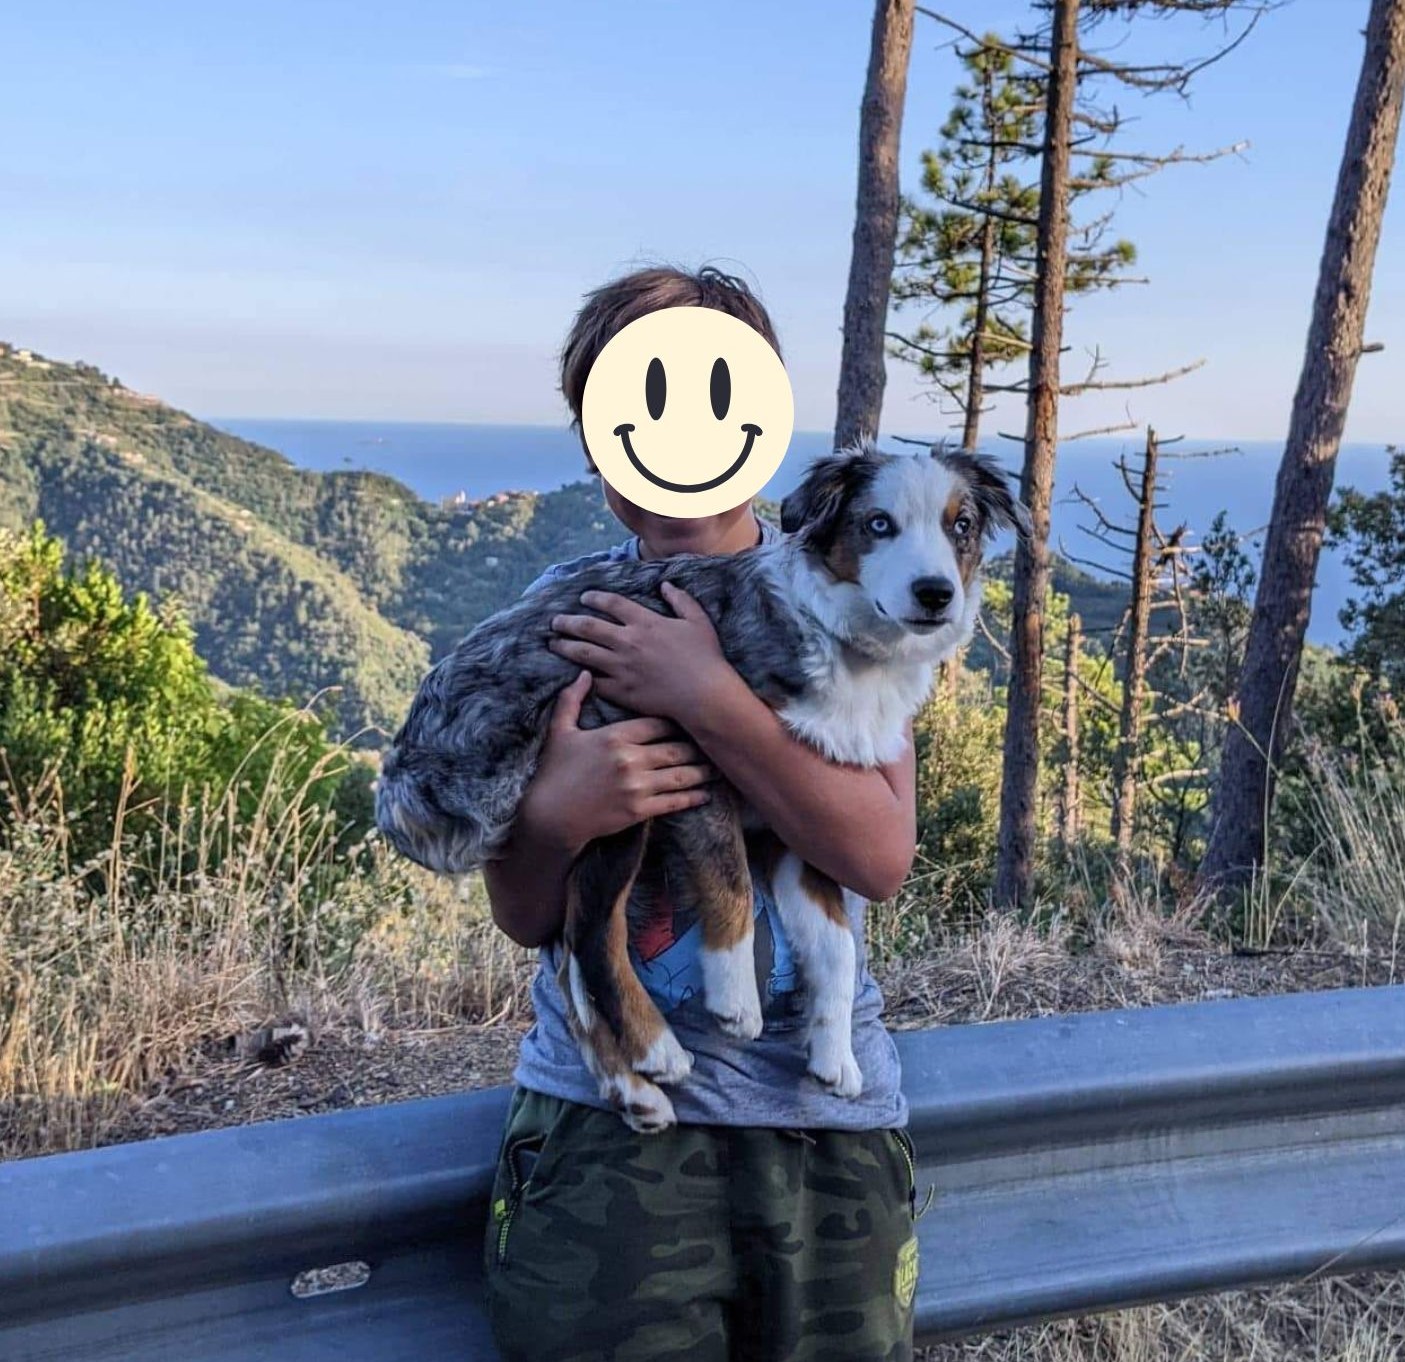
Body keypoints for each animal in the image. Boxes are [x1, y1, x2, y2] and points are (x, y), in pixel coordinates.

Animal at [375, 442, 1027, 1132]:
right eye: (878, 524)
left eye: (961, 526)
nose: (935, 594)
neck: (841, 640)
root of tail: (406, 757)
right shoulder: (695, 760)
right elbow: (730, 882)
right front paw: (736, 998)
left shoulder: (796, 821)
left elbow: (836, 945)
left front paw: (834, 1055)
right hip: (613, 795)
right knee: (592, 938)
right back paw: (656, 1049)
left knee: (568, 962)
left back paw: (632, 1089)